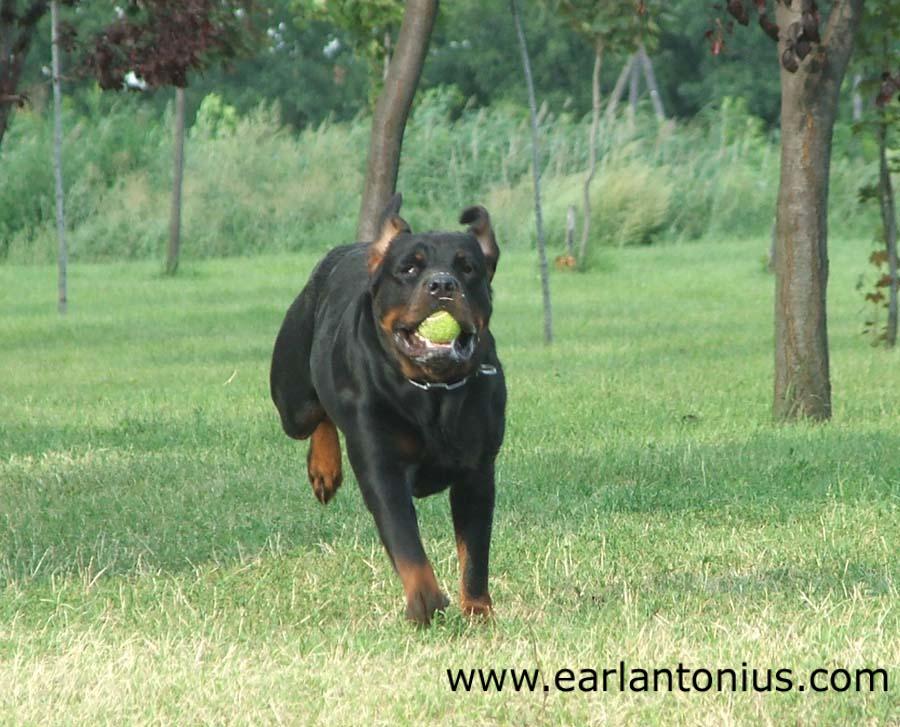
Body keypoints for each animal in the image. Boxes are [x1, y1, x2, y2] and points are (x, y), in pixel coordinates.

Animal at [270, 194, 506, 625]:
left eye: (467, 268)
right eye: (409, 268)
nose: (442, 284)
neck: (433, 389)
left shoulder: (477, 472)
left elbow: (475, 552)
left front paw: (478, 610)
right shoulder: (382, 468)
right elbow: (406, 542)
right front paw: (426, 602)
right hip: (293, 402)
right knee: (317, 415)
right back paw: (323, 468)